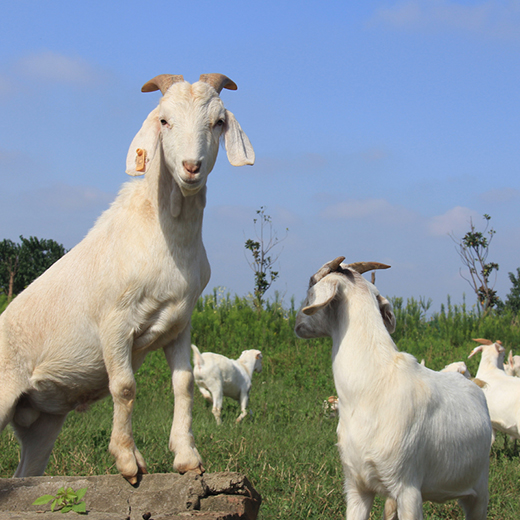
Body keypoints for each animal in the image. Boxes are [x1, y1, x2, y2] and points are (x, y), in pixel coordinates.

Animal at [0, 73, 254, 484]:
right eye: (164, 121)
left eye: (218, 122)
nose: (191, 166)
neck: (164, 237)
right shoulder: (115, 322)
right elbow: (124, 387)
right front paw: (128, 460)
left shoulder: (180, 323)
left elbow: (183, 385)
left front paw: (187, 457)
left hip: (41, 421)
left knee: (26, 474)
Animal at [296, 256, 492, 520]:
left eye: (311, 283)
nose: (297, 323)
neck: (371, 386)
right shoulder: (357, 485)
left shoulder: (408, 489)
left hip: (479, 490)